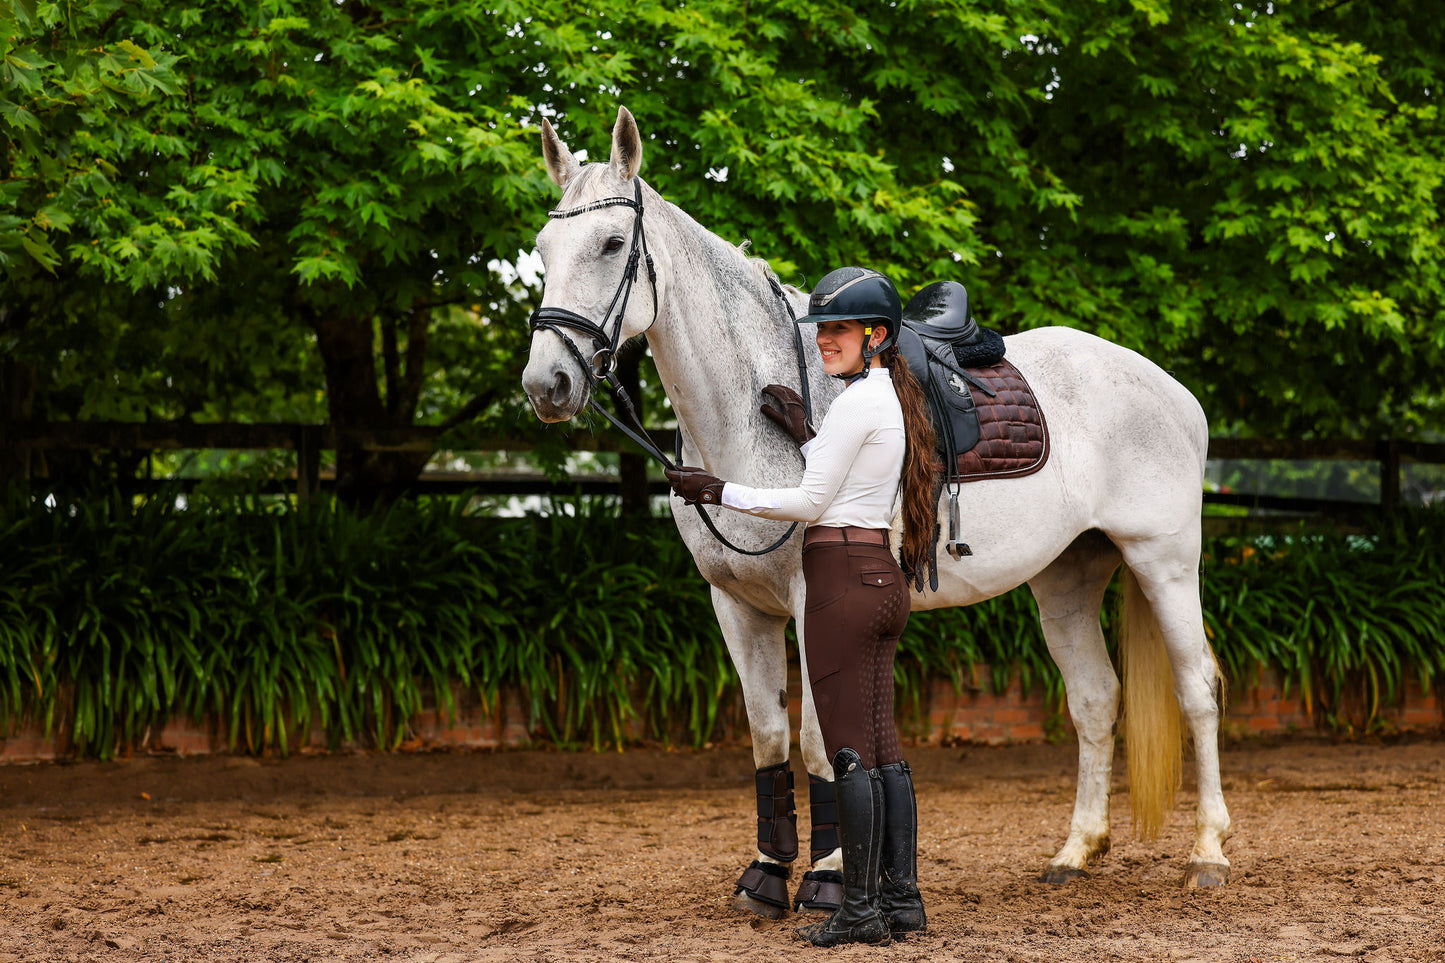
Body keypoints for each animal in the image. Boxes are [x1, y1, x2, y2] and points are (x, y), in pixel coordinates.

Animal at [520, 108, 1231, 902]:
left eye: (613, 244)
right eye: (543, 248)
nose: (547, 383)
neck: (753, 409)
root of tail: (1171, 390)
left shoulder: (813, 603)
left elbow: (818, 738)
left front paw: (829, 876)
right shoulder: (735, 605)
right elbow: (768, 735)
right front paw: (767, 872)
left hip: (1163, 562)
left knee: (1197, 689)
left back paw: (1207, 851)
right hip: (1068, 577)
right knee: (1095, 699)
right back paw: (1076, 850)